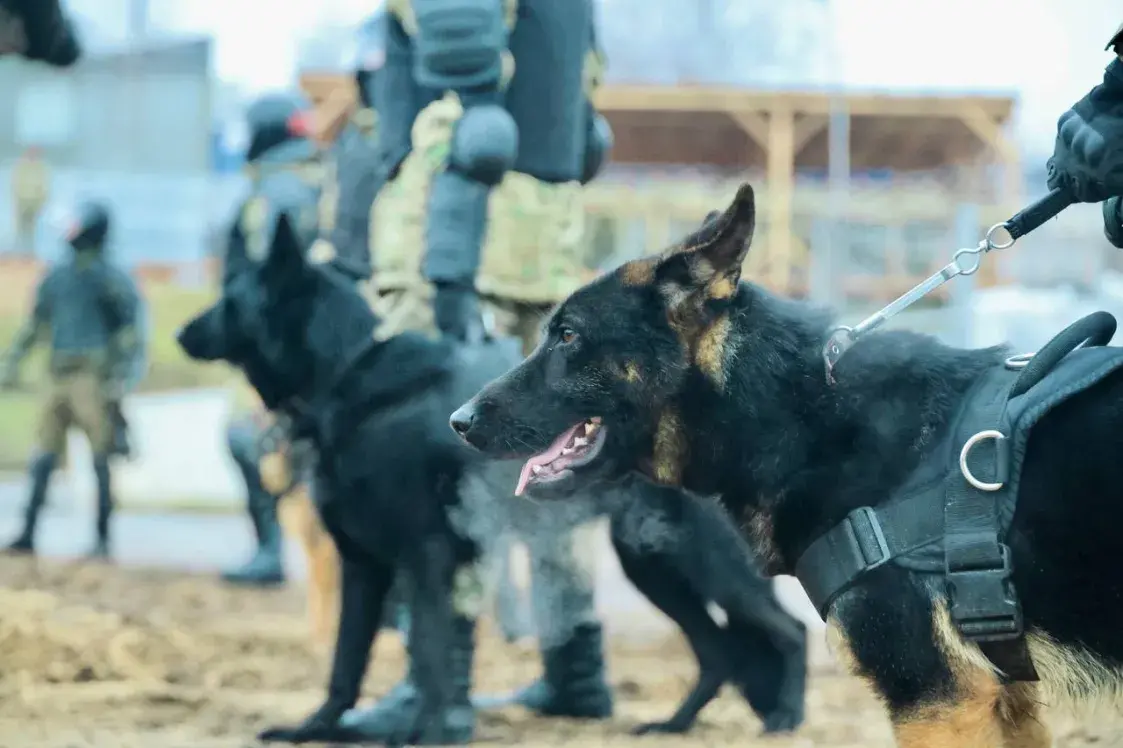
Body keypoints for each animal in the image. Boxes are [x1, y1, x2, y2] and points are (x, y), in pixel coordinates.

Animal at [177, 210, 808, 741]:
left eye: (230, 298)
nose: (182, 333)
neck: (351, 374)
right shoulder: (364, 565)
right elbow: (345, 662)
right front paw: (317, 728)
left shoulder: (429, 558)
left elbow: (433, 654)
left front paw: (432, 733)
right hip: (653, 565)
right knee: (718, 651)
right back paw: (674, 725)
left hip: (703, 561)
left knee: (787, 630)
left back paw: (785, 719)